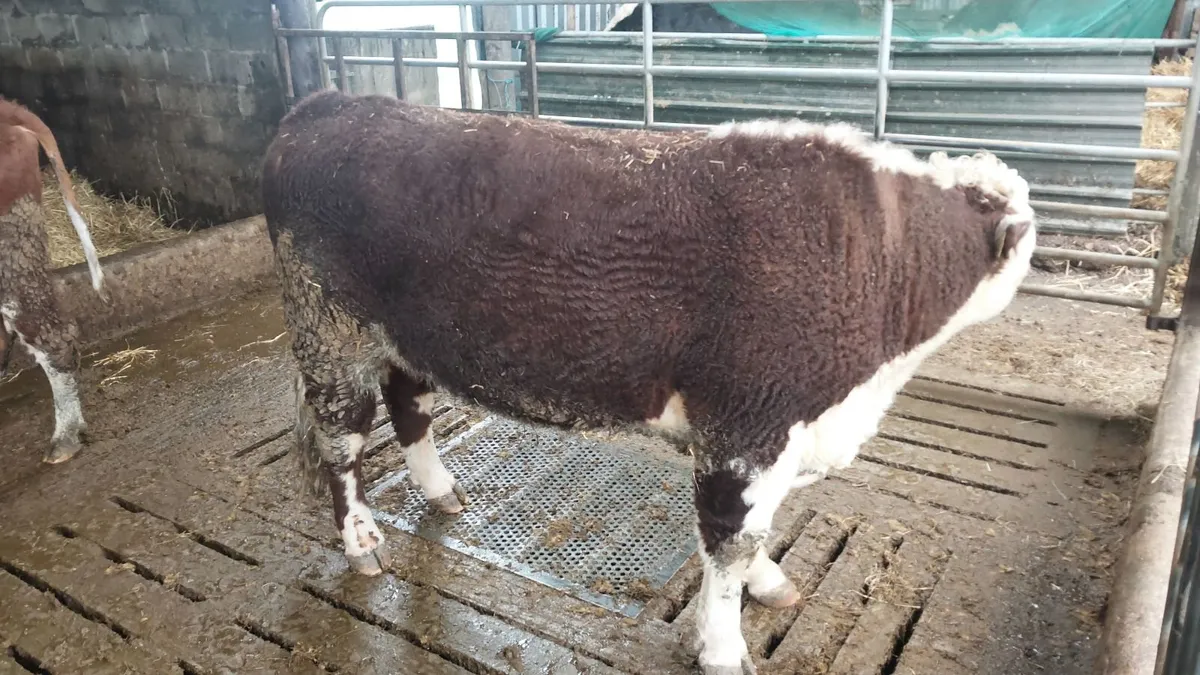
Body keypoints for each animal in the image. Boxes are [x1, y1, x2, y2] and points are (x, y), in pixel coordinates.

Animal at [261, 90, 1035, 675]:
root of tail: (327, 105)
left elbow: (752, 533)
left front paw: (766, 582)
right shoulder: (744, 424)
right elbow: (730, 538)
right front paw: (723, 647)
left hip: (407, 342)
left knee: (409, 409)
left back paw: (441, 492)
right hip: (330, 334)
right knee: (341, 447)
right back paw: (362, 544)